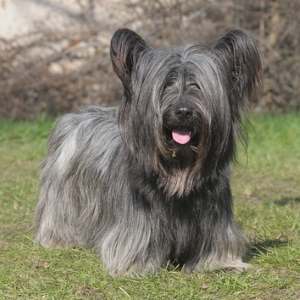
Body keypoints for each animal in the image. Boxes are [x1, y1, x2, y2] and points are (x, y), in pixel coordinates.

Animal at [34, 28, 260, 276]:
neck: (178, 168)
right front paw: (136, 265)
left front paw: (224, 263)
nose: (183, 111)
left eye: (197, 85)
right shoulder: (138, 221)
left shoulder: (215, 217)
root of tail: (75, 116)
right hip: (64, 194)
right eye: (166, 85)